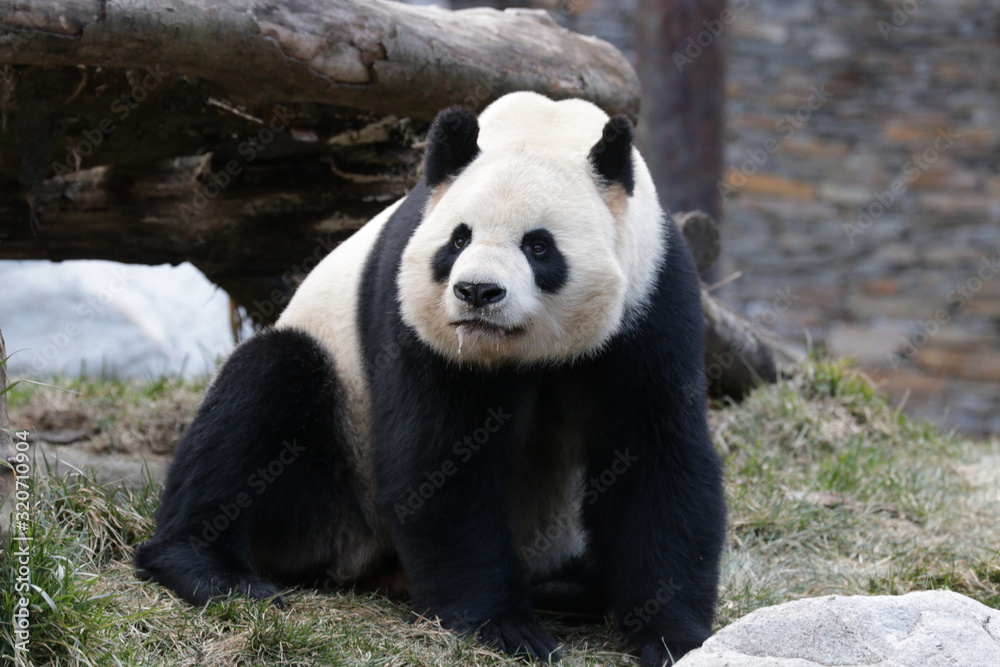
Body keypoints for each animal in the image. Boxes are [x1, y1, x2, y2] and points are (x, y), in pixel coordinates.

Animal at [135, 91, 726, 666]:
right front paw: (503, 628)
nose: (478, 293)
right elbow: (438, 458)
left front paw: (673, 634)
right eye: (458, 240)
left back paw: (568, 590)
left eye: (538, 246)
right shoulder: (413, 308)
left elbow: (653, 456)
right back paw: (209, 570)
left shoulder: (651, 298)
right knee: (264, 389)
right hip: (335, 466)